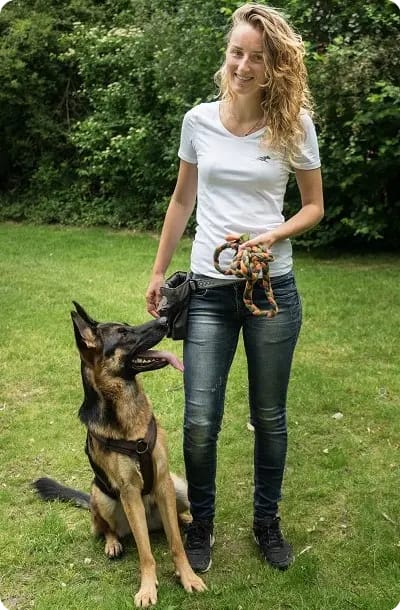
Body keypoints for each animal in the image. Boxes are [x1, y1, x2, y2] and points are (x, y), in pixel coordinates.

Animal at [32, 302, 205, 604]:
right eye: (124, 334)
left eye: (128, 326)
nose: (164, 320)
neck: (127, 414)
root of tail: (152, 522)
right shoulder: (129, 492)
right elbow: (146, 553)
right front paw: (147, 588)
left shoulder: (162, 482)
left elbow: (176, 545)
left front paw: (188, 577)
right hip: (101, 496)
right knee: (105, 528)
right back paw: (113, 543)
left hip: (179, 487)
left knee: (172, 520)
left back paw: (185, 519)